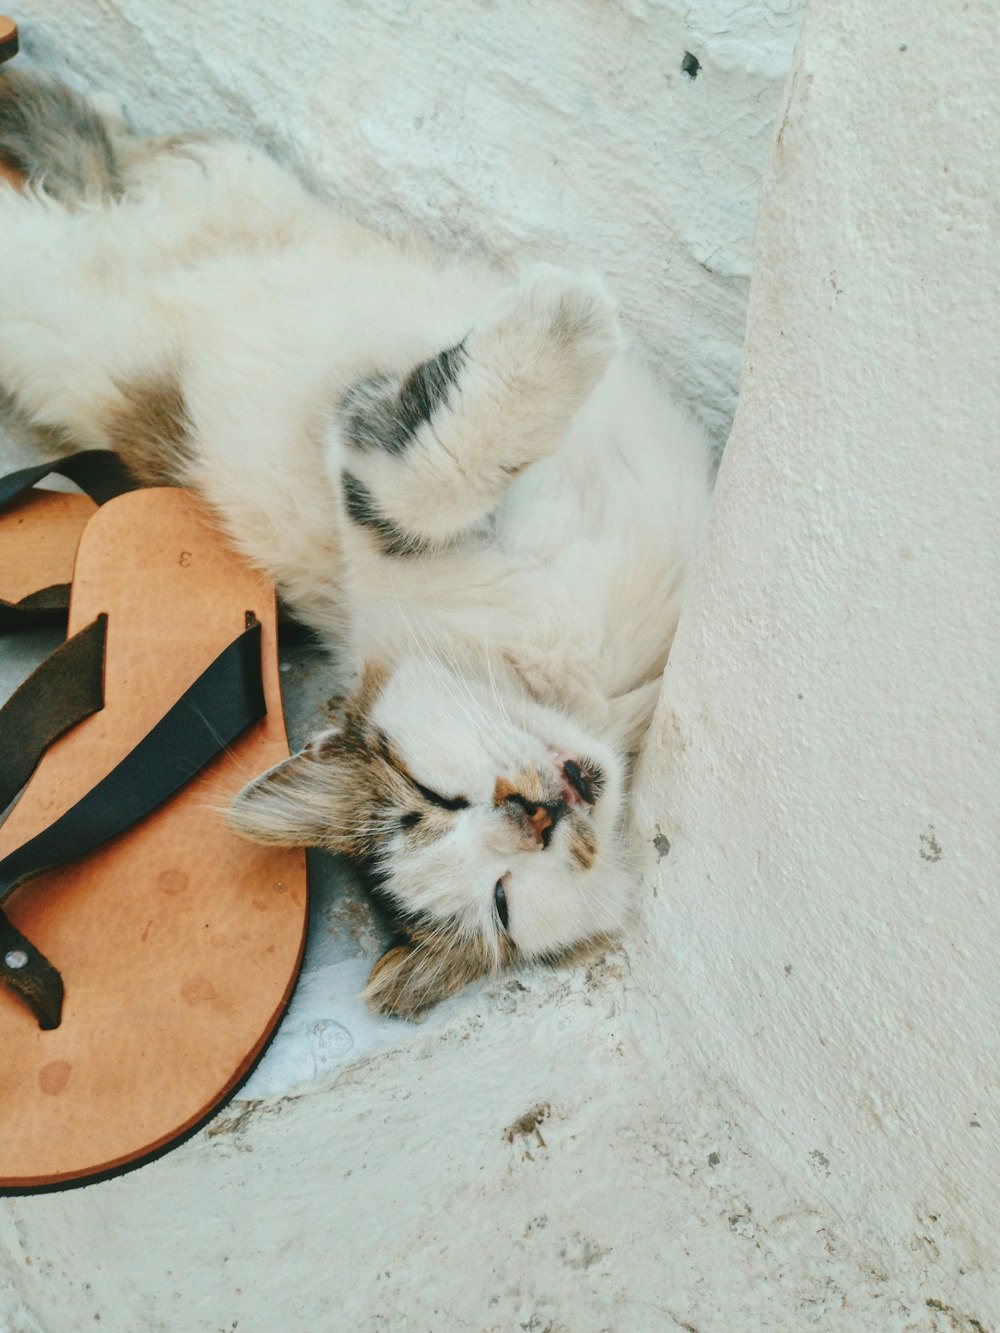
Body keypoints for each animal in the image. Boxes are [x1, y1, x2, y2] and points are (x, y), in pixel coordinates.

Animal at [0, 67, 714, 1013]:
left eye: (433, 795)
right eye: (499, 899)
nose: (531, 814)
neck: (582, 693)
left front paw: (556, 322)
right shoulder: (366, 467)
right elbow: (427, 475)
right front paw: (567, 322)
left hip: (237, 192)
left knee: (111, 165)